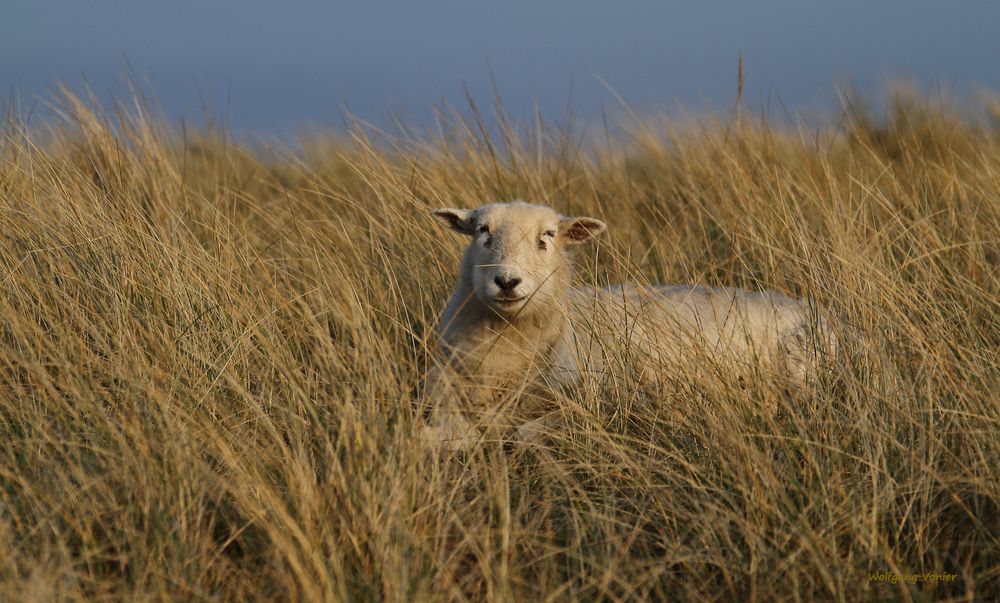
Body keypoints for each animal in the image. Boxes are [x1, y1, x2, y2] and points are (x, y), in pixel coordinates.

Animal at [422, 202, 836, 448]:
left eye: (548, 237)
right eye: (482, 231)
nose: (507, 281)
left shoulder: (593, 405)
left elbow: (523, 435)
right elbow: (434, 438)